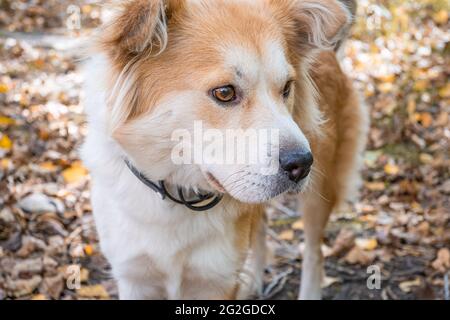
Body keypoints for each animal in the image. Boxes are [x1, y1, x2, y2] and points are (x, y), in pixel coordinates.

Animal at [81, 0, 370, 300]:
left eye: (287, 88)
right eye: (224, 93)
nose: (302, 164)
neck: (176, 194)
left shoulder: (217, 281)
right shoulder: (134, 277)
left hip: (319, 192)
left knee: (314, 251)